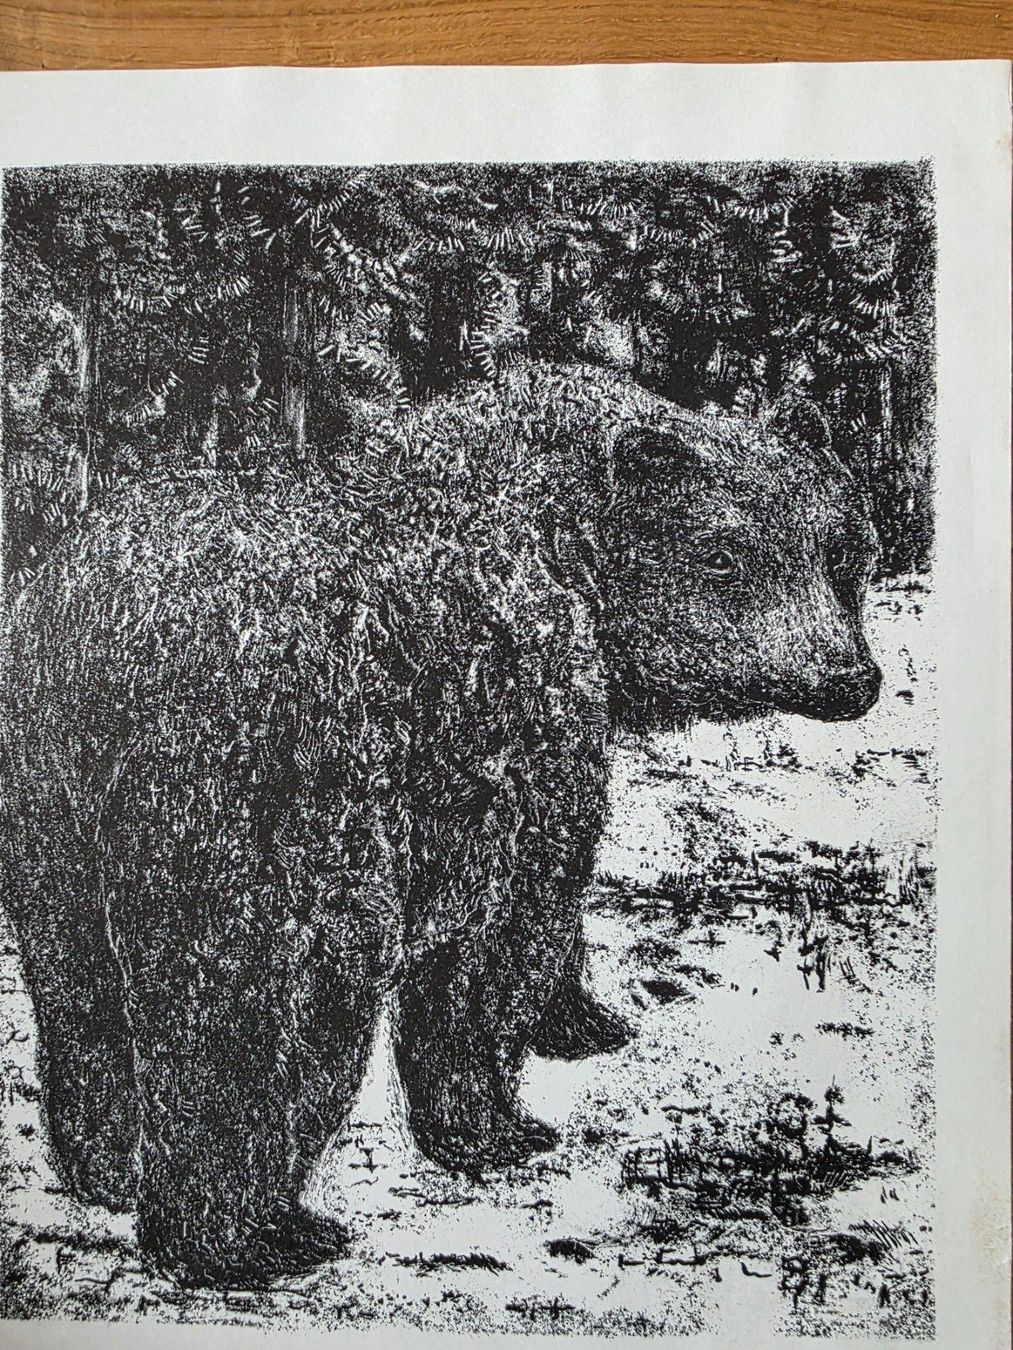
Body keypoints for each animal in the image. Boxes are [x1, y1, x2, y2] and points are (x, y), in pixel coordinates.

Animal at [0, 361, 881, 1288]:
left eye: (843, 550)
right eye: (722, 554)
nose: (847, 676)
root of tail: (107, 642)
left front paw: (580, 1019)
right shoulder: (522, 727)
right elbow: (498, 938)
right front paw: (498, 1122)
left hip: (49, 807)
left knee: (80, 989)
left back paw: (106, 1171)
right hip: (265, 803)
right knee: (258, 1011)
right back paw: (251, 1236)